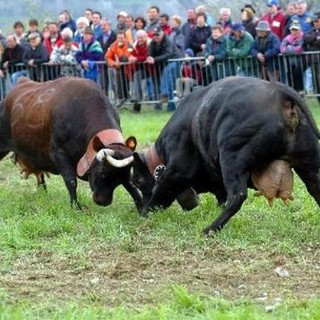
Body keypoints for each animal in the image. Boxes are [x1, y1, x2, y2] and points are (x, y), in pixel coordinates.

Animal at [0, 77, 141, 210]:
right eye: (102, 172)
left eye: (122, 176)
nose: (103, 202)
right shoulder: (58, 153)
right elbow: (71, 181)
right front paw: (76, 207)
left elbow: (130, 185)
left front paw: (141, 206)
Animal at [132, 76, 320, 234]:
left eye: (138, 181)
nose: (139, 207)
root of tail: (280, 93)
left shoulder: (176, 171)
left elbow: (159, 190)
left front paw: (144, 214)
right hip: (307, 163)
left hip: (233, 158)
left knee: (237, 196)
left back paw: (210, 229)